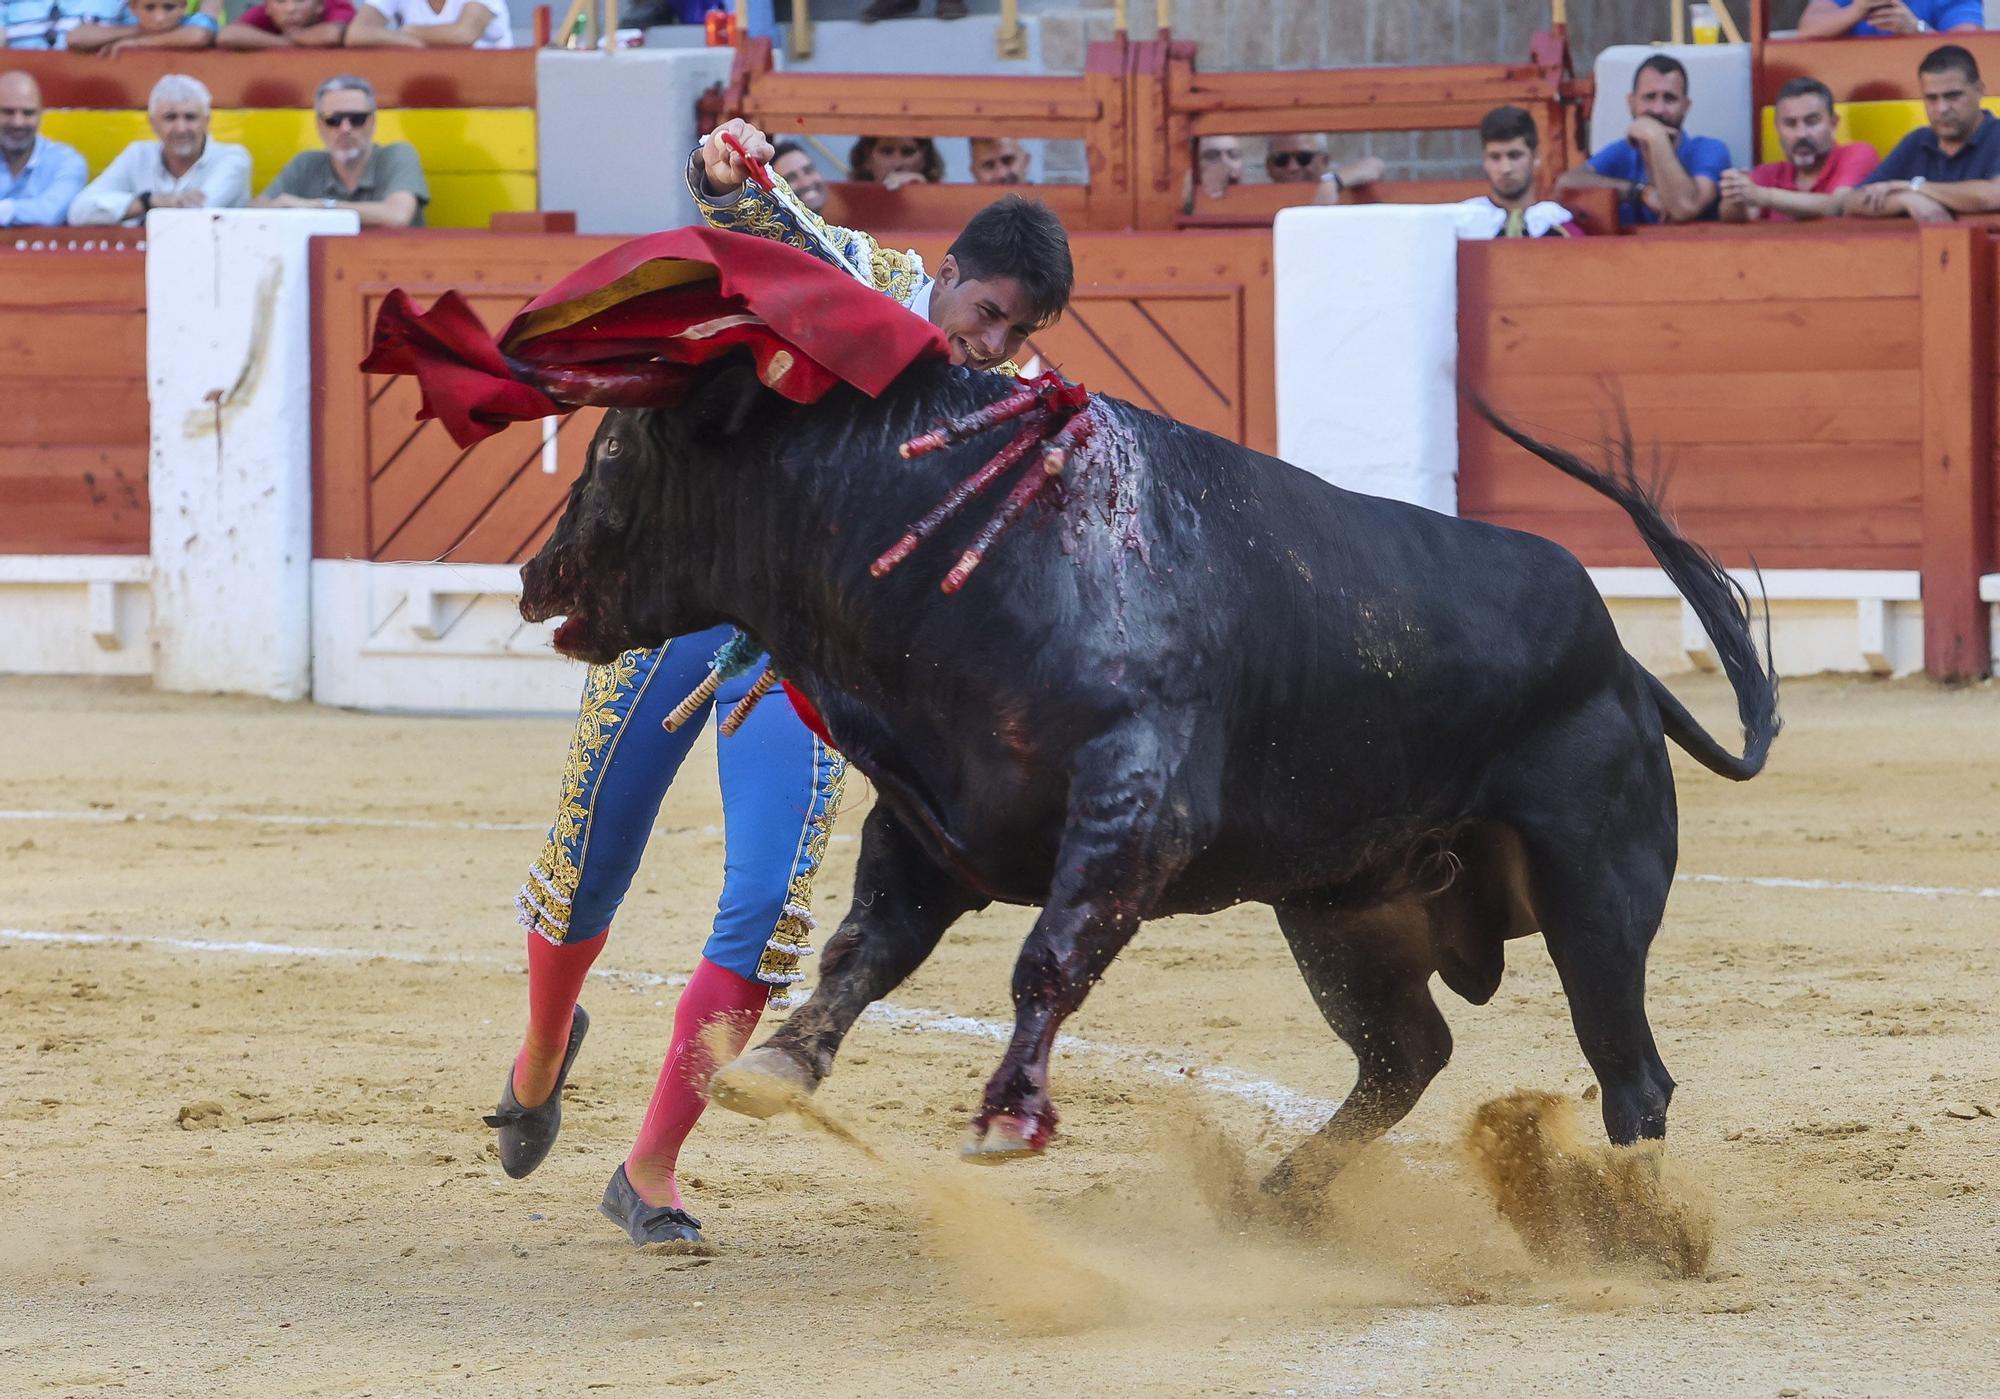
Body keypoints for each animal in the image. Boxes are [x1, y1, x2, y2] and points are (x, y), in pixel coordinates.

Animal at [520, 363, 1784, 1191]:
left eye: (614, 450)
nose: (534, 574)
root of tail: (1621, 661)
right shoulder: (930, 826)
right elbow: (859, 948)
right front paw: (775, 1064)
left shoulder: (1131, 812)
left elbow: (1045, 959)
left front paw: (1004, 1118)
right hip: (1344, 915)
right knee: (1405, 1055)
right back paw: (1283, 1195)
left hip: (1591, 895)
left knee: (1629, 1074)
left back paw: (1636, 1229)